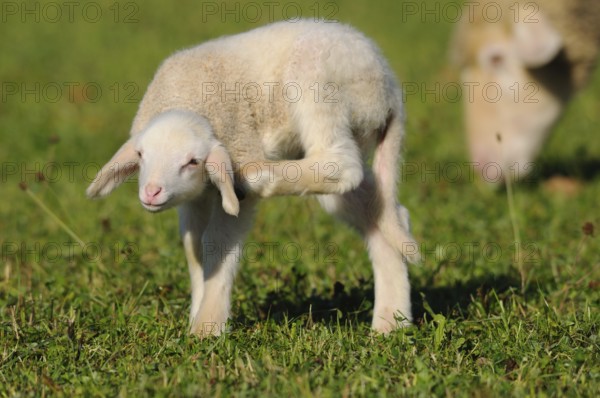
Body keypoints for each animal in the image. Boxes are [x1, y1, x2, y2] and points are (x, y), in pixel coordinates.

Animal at [86, 19, 420, 336]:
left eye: (193, 162)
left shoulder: (236, 159)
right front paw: (198, 312)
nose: (152, 191)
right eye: (141, 155)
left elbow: (216, 243)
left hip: (319, 83)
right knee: (381, 210)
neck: (185, 97)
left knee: (341, 163)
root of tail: (389, 88)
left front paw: (206, 328)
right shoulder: (195, 198)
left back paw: (256, 177)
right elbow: (194, 248)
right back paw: (391, 323)